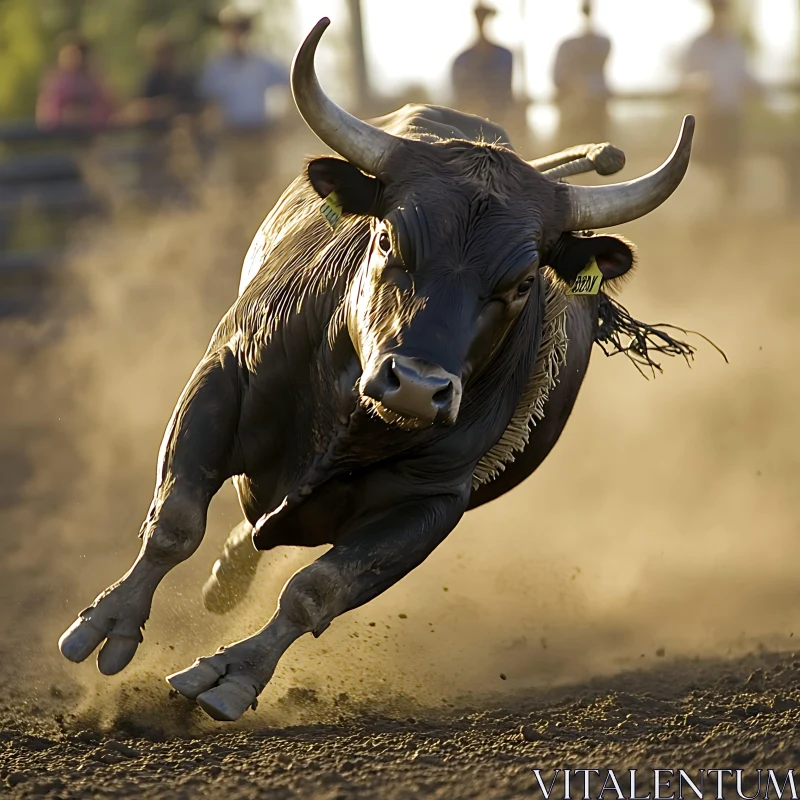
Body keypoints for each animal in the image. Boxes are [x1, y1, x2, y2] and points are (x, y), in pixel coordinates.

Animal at [59, 18, 696, 720]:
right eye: (389, 238)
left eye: (523, 282)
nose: (417, 388)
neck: (349, 413)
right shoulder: (220, 380)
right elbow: (175, 522)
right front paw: (107, 625)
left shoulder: (431, 503)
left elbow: (318, 589)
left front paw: (232, 675)